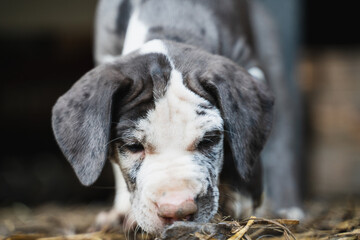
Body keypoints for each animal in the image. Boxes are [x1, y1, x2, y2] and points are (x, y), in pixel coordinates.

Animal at [52, 0, 300, 234]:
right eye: (133, 146)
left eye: (209, 140)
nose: (178, 209)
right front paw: (123, 212)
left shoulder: (249, 63)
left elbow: (243, 143)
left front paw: (242, 196)